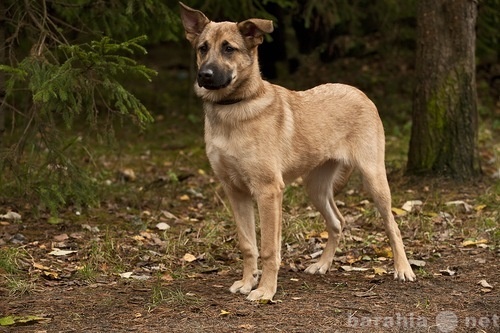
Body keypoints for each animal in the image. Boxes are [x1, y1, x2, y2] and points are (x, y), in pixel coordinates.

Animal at [179, 2, 414, 300]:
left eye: (228, 49)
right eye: (203, 48)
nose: (204, 76)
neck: (233, 108)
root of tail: (358, 91)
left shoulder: (268, 191)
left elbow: (269, 249)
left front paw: (265, 291)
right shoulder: (235, 191)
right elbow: (247, 244)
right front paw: (247, 282)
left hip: (374, 179)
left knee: (392, 225)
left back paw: (403, 269)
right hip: (315, 187)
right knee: (337, 222)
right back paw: (323, 264)